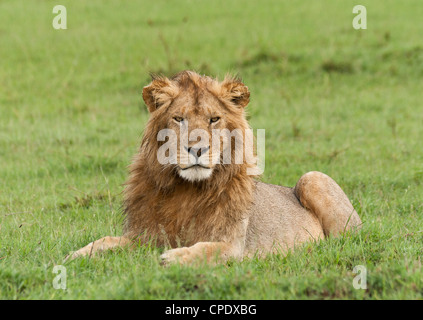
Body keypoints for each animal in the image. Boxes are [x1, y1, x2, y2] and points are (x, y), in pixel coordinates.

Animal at [68, 71, 362, 264]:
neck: (186, 190)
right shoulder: (144, 235)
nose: (197, 149)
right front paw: (75, 255)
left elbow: (206, 249)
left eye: (214, 119)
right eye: (179, 119)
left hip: (313, 178)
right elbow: (107, 241)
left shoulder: (234, 246)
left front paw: (173, 257)